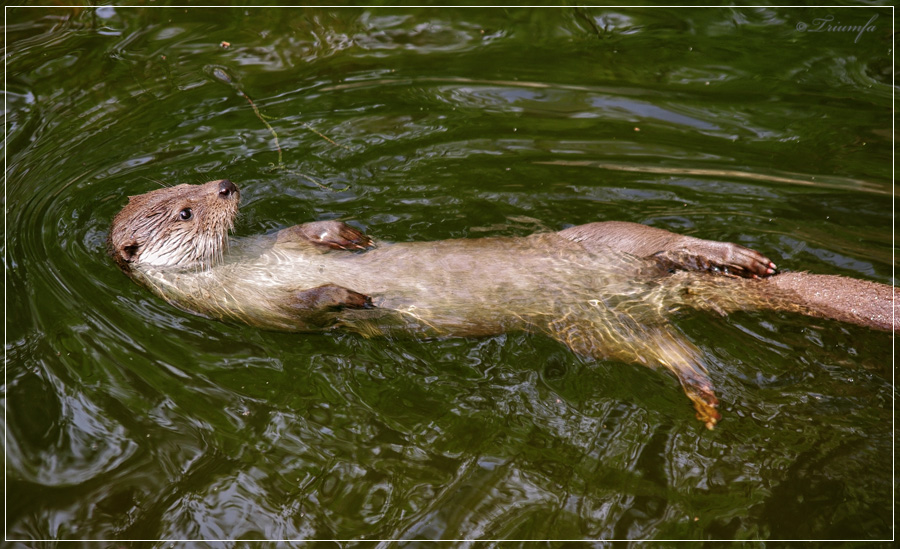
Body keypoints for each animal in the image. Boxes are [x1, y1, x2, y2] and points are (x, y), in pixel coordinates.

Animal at [109, 180, 896, 428]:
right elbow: (306, 309)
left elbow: (317, 230)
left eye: (198, 183)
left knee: (670, 240)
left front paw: (355, 239)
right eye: (185, 210)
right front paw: (354, 297)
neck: (250, 264)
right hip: (598, 329)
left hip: (607, 240)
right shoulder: (250, 310)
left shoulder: (285, 239)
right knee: (674, 352)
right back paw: (704, 395)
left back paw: (740, 258)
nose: (227, 185)